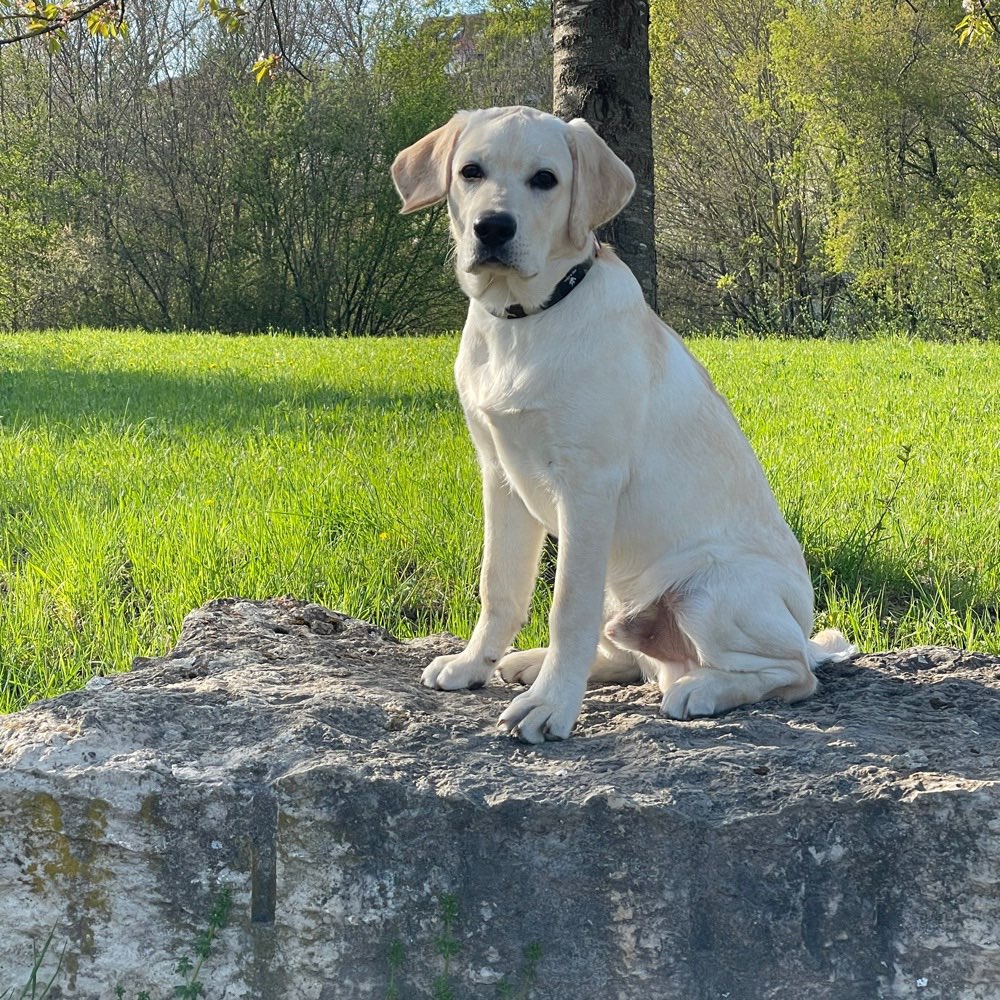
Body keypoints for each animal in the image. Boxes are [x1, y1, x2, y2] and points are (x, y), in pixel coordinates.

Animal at [390, 105, 852, 744]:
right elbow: (499, 586)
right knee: (629, 655)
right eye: (470, 171)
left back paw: (701, 689)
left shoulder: (588, 485)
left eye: (545, 179)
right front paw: (472, 664)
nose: (493, 228)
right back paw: (532, 664)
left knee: (793, 674)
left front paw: (551, 706)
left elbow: (566, 608)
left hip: (709, 592)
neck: (525, 322)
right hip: (619, 585)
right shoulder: (500, 474)